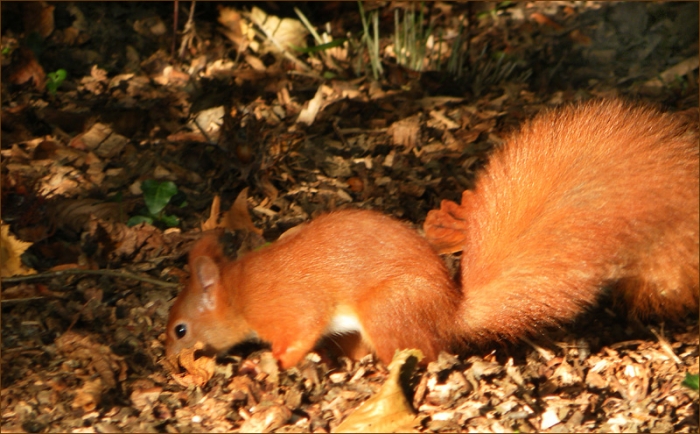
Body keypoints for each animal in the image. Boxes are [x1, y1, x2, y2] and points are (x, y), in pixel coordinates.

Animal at [166, 99, 699, 369]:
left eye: (180, 329)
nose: (171, 362)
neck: (239, 290)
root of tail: (449, 314)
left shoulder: (290, 309)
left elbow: (299, 333)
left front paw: (280, 360)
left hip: (385, 310)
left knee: (418, 353)